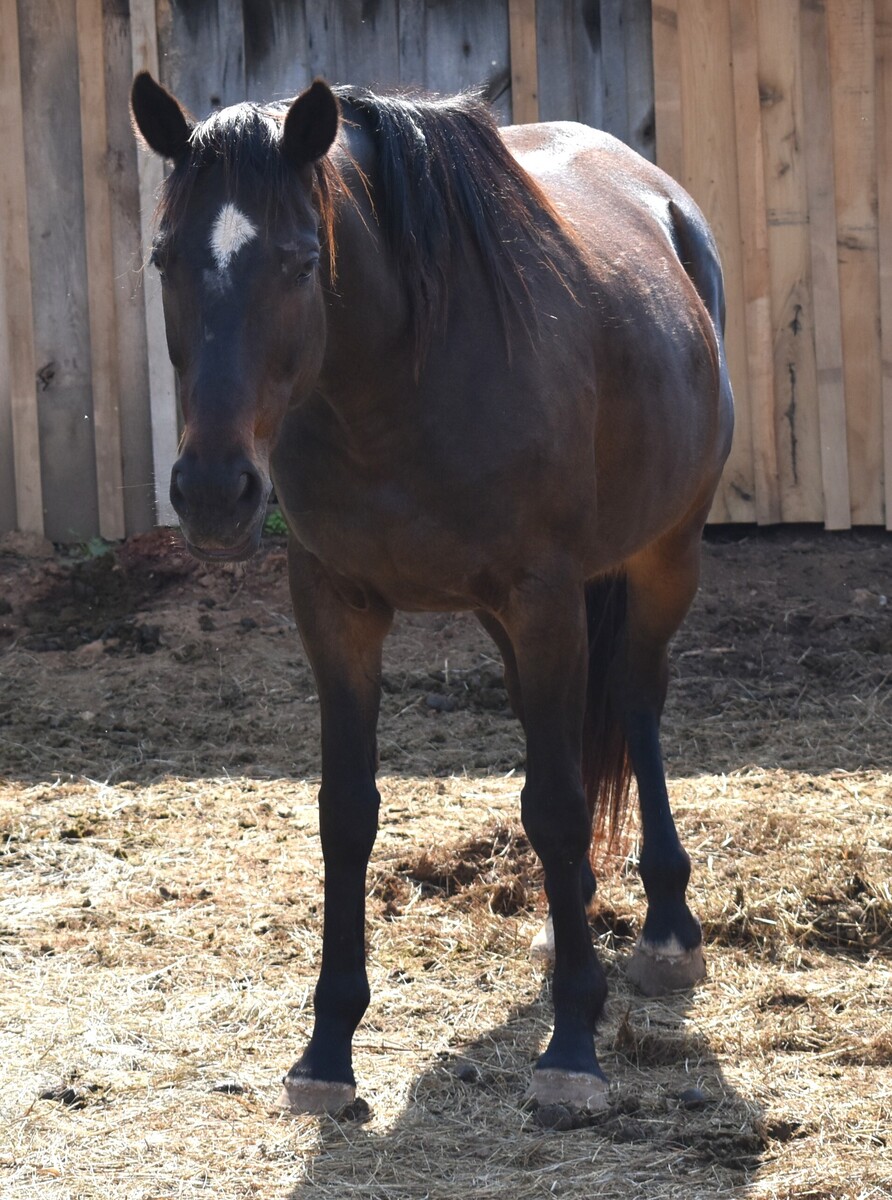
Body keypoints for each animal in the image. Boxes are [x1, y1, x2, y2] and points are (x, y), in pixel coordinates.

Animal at [130, 71, 733, 1115]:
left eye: (300, 261)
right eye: (166, 257)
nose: (212, 490)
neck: (396, 379)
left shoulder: (543, 595)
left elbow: (557, 804)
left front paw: (574, 1045)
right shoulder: (337, 608)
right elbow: (347, 813)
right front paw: (327, 1049)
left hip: (664, 556)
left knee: (637, 702)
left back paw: (665, 929)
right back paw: (568, 918)